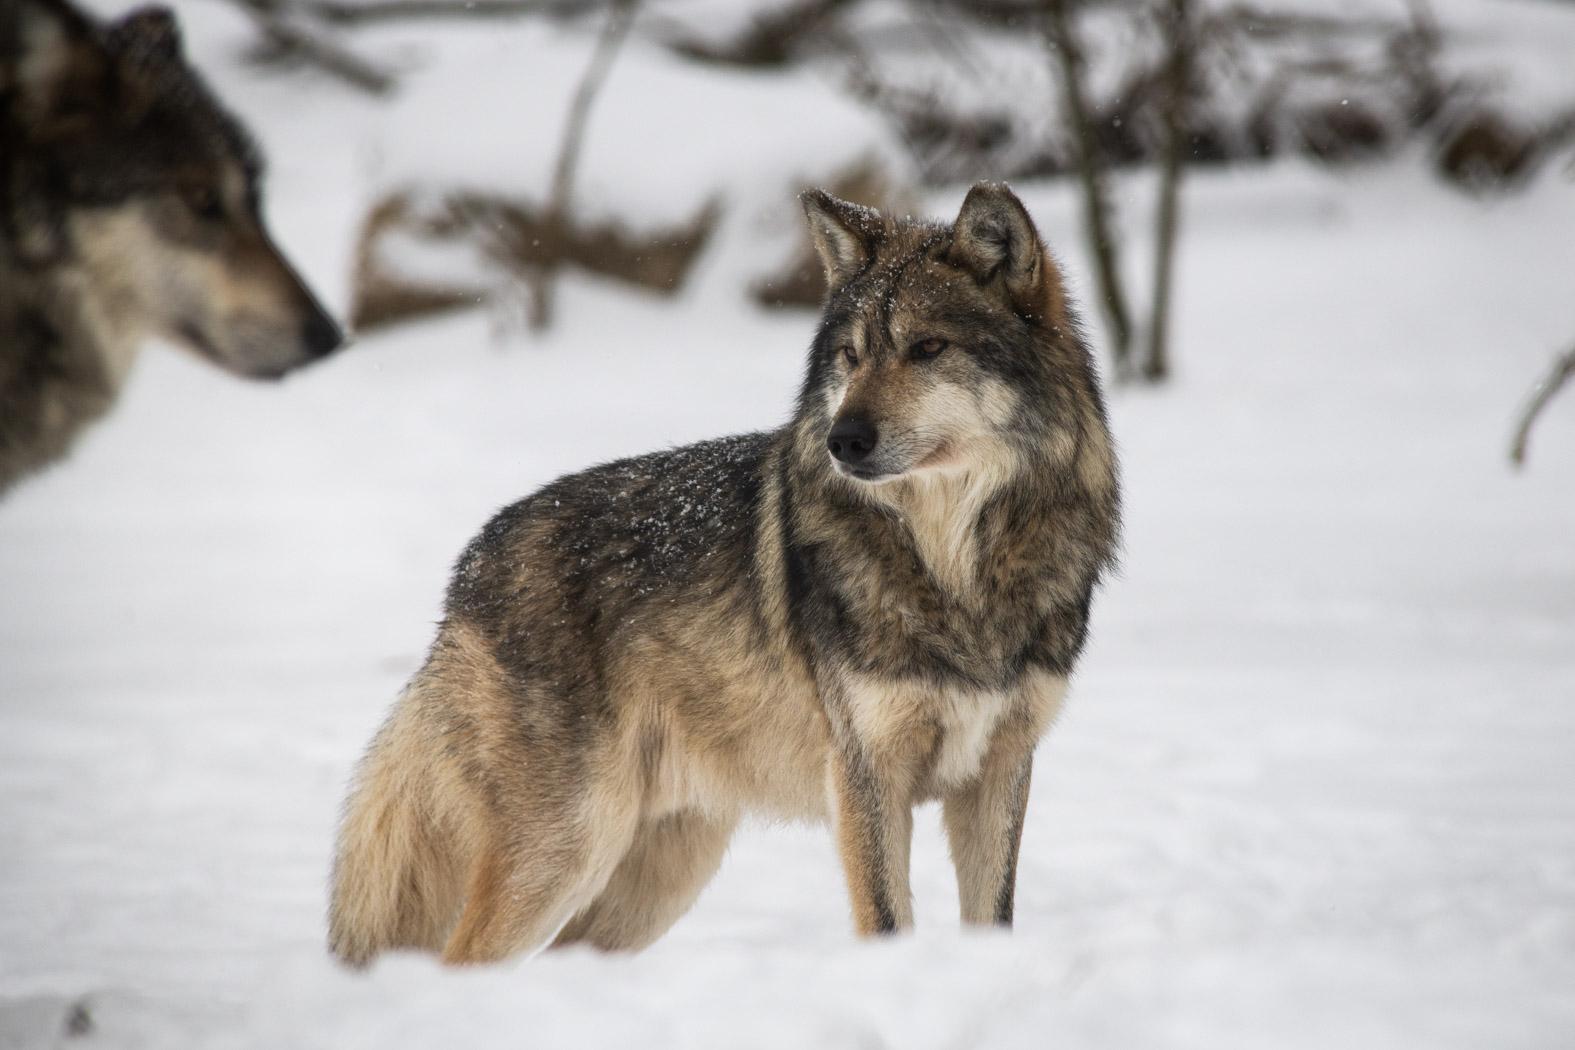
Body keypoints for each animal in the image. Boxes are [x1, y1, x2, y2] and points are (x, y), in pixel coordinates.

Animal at [329, 178, 1121, 963]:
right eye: (850, 356)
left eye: (928, 348)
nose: (843, 441)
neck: (955, 567)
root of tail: (469, 564)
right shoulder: (866, 777)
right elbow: (887, 923)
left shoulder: (1000, 770)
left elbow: (994, 918)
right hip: (568, 847)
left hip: (663, 870)